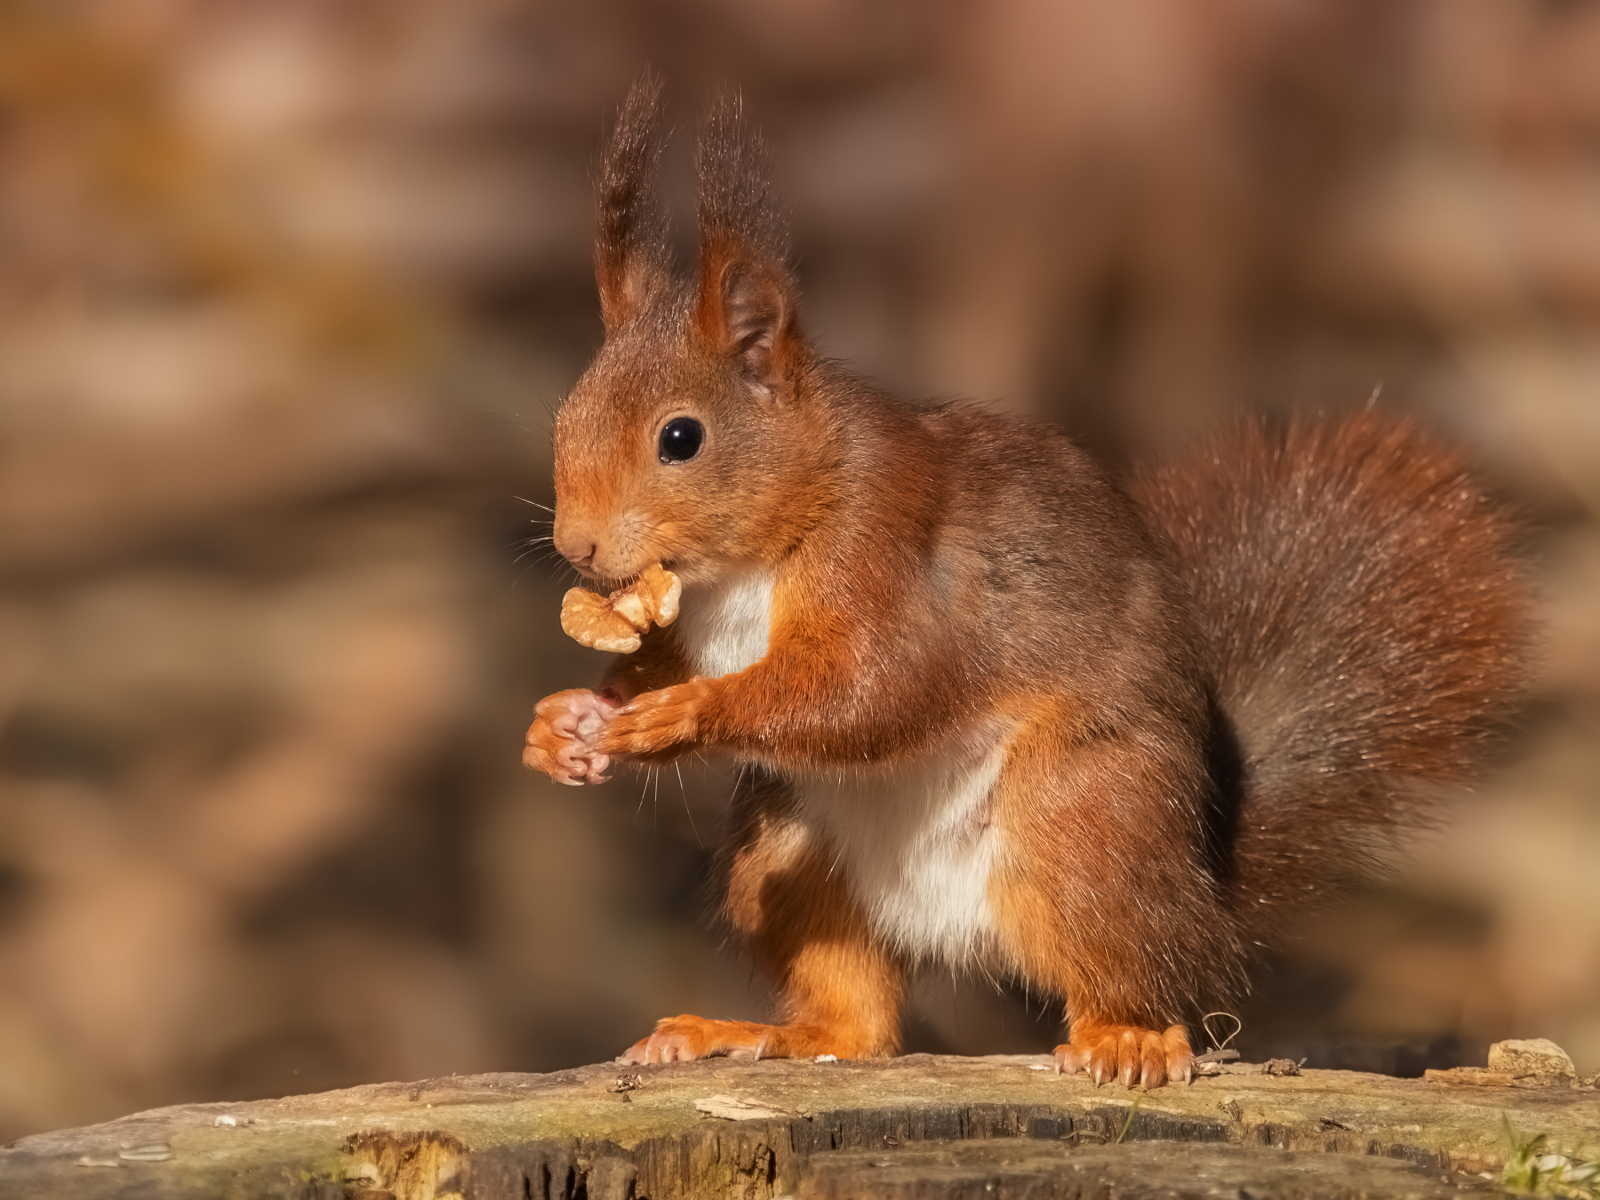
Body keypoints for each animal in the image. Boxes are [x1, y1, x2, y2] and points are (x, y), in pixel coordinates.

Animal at [521, 75, 1523, 1088]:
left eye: (680, 437)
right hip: (788, 851)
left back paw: (1127, 1037)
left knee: (1133, 971)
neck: (747, 562)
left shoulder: (884, 550)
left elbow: (875, 687)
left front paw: (684, 714)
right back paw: (755, 1032)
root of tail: (1204, 891)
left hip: (1080, 825)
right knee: (857, 1021)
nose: (579, 547)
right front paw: (568, 724)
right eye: (566, 416)